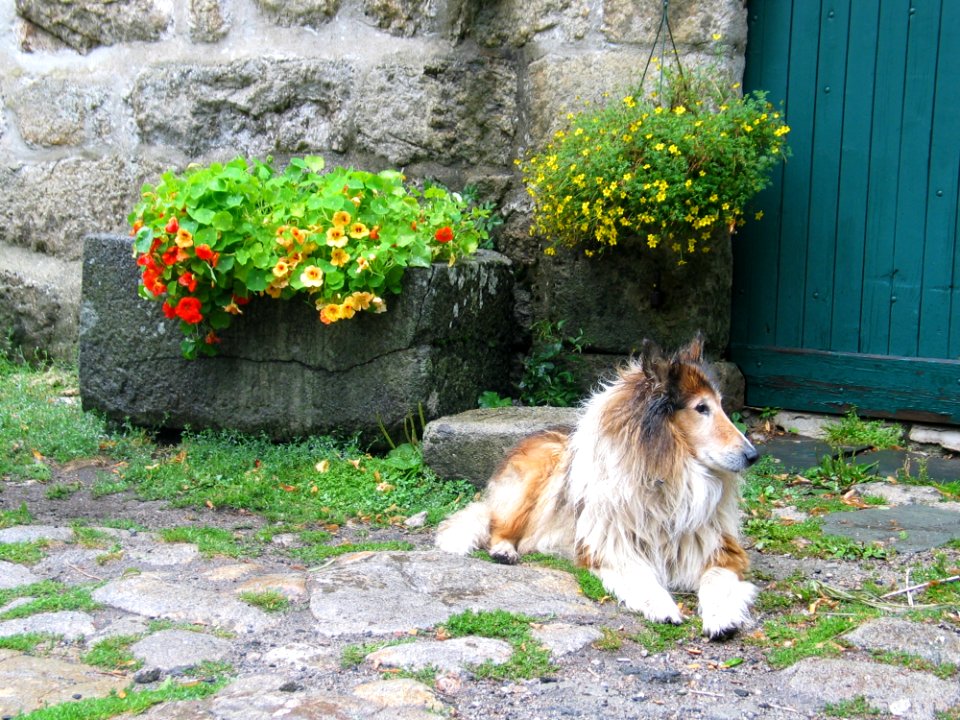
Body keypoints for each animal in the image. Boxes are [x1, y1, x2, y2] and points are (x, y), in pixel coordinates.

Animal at [436, 334, 756, 640]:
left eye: (720, 405)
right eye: (701, 408)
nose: (753, 455)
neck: (667, 475)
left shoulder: (722, 551)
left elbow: (717, 583)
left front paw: (721, 619)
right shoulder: (611, 548)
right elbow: (642, 578)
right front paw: (663, 607)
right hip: (536, 476)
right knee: (497, 527)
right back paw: (504, 550)